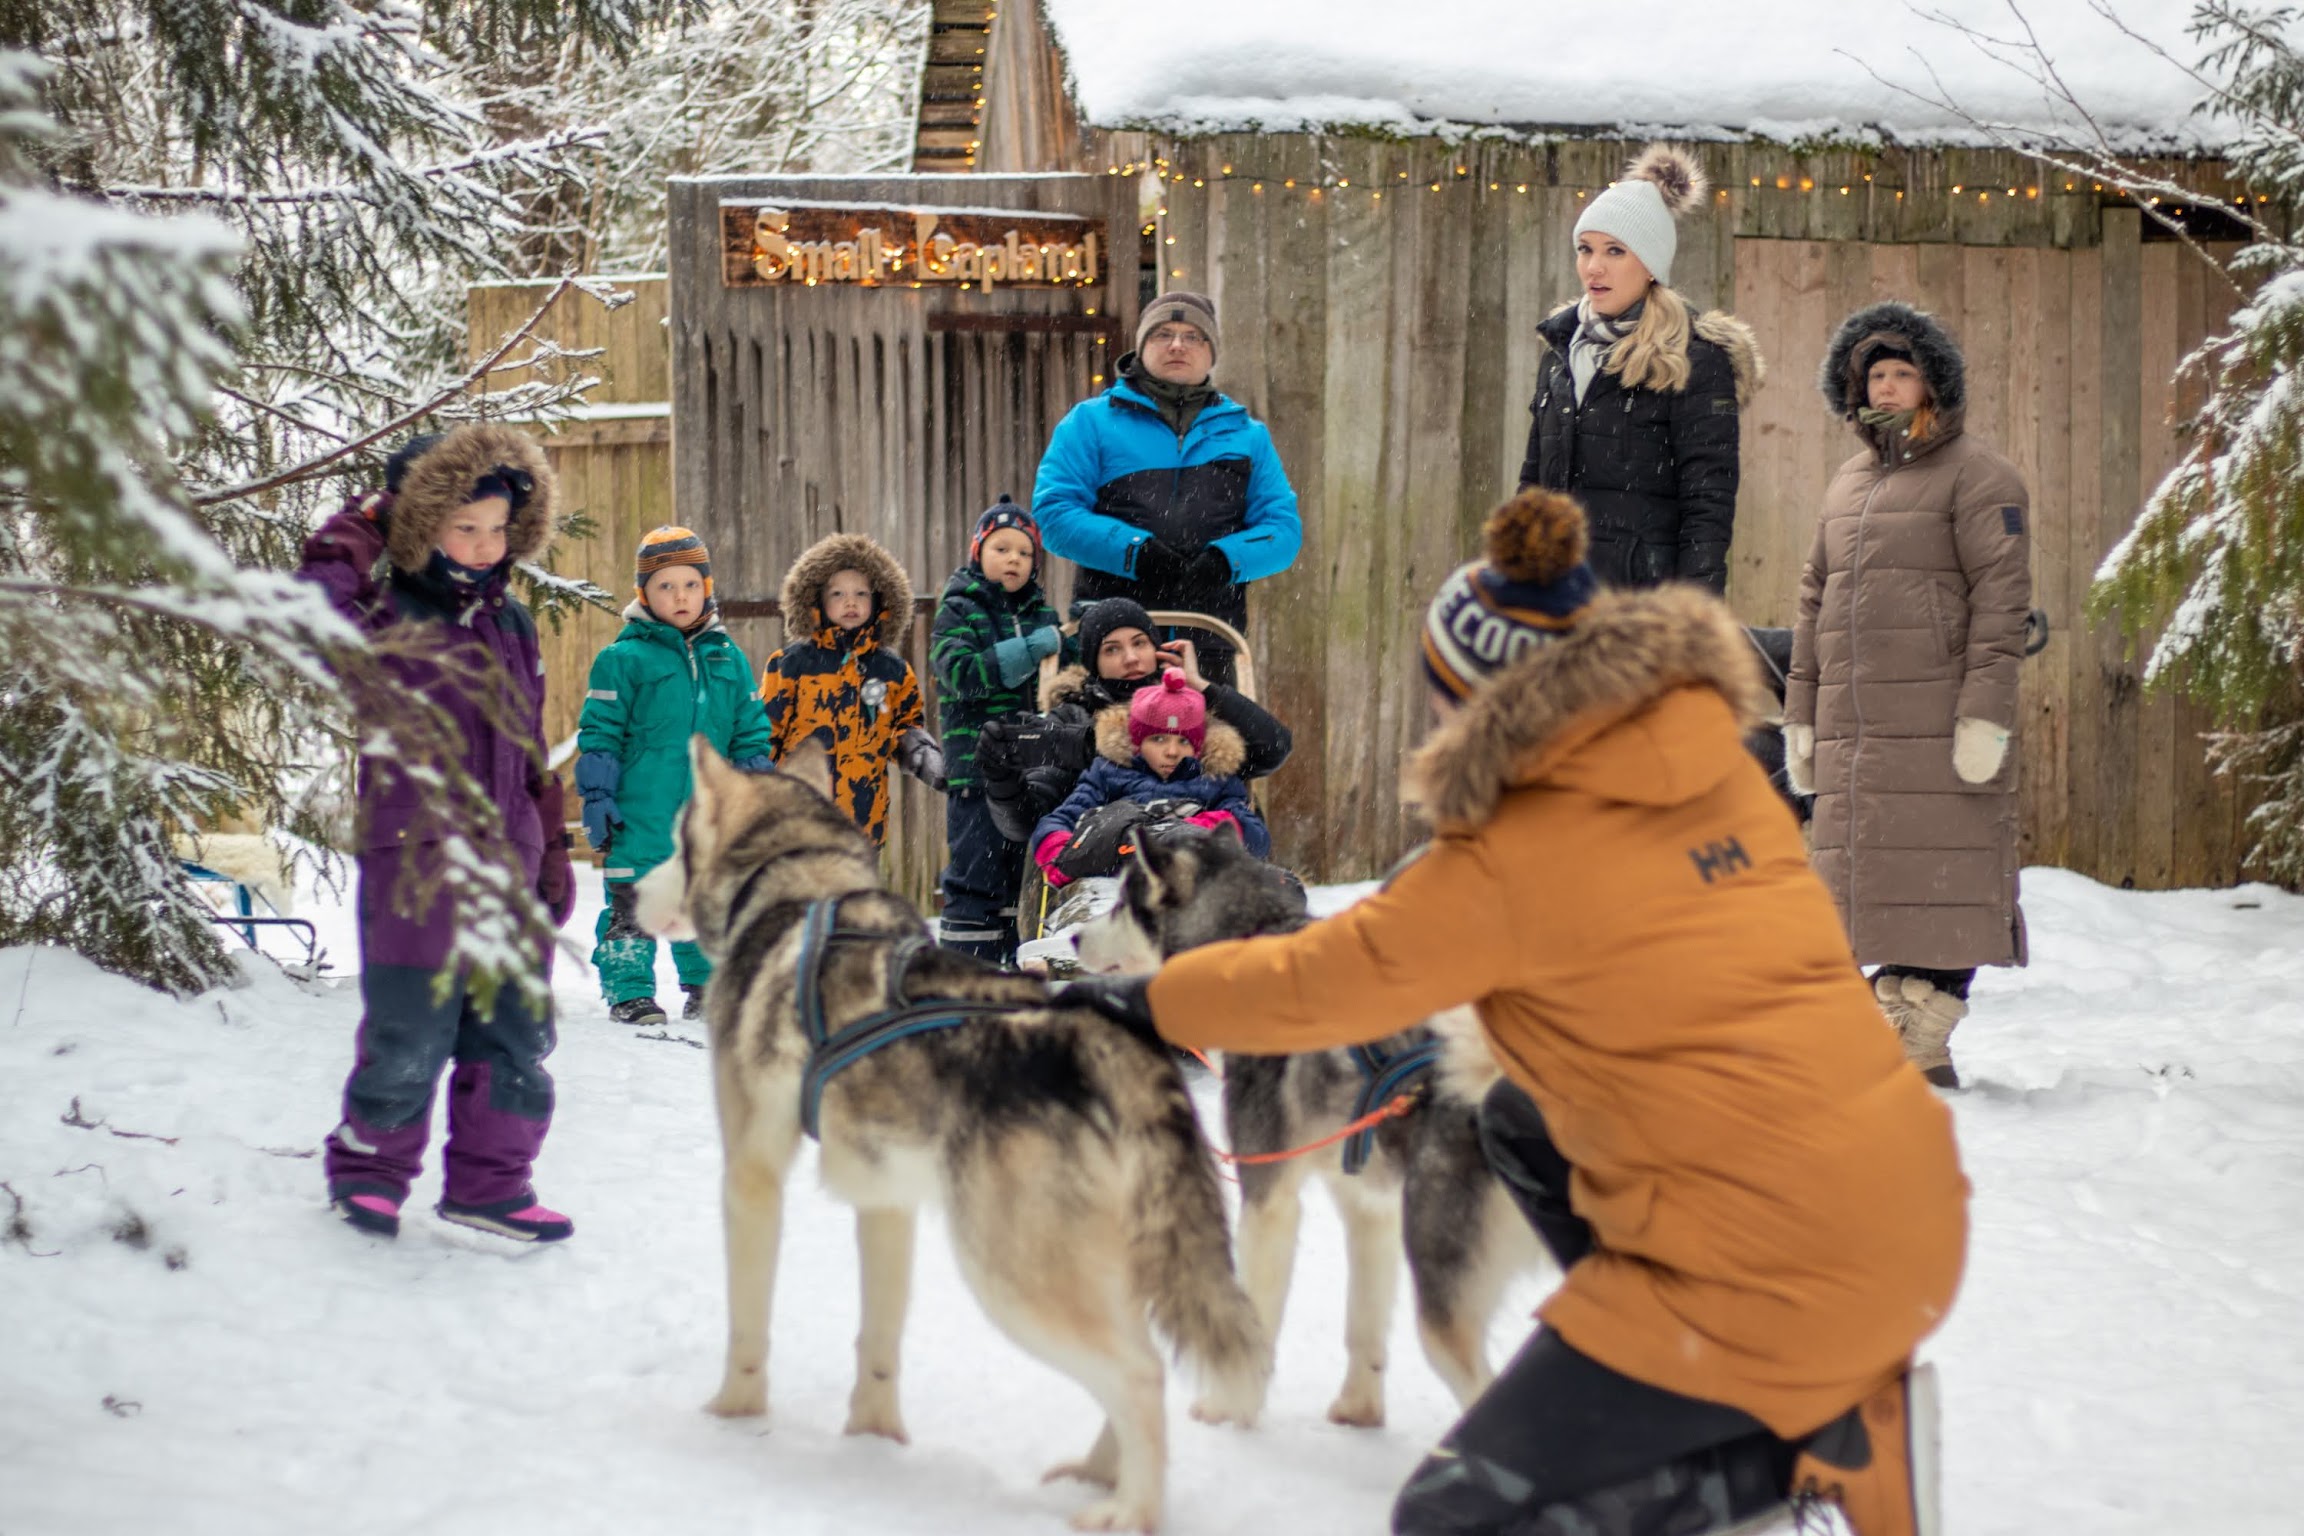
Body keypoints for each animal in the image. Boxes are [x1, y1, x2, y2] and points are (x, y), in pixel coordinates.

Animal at [640, 741, 1271, 1529]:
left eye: (674, 841)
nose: (628, 896)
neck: (800, 889)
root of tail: (1112, 1042)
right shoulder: (884, 1199)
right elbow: (878, 1340)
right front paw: (873, 1438)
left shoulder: (751, 1179)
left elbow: (747, 1326)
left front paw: (732, 1414)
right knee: (1136, 1360)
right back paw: (1098, 1474)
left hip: (1008, 1268)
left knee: (1140, 1372)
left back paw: (1131, 1509)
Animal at [1064, 829, 1539, 1427]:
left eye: (1124, 902)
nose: (1074, 935)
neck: (1249, 941)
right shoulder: (1368, 1209)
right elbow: (1363, 1327)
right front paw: (1358, 1409)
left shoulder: (1267, 1199)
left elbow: (1255, 1318)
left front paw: (1230, 1407)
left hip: (1442, 1294)